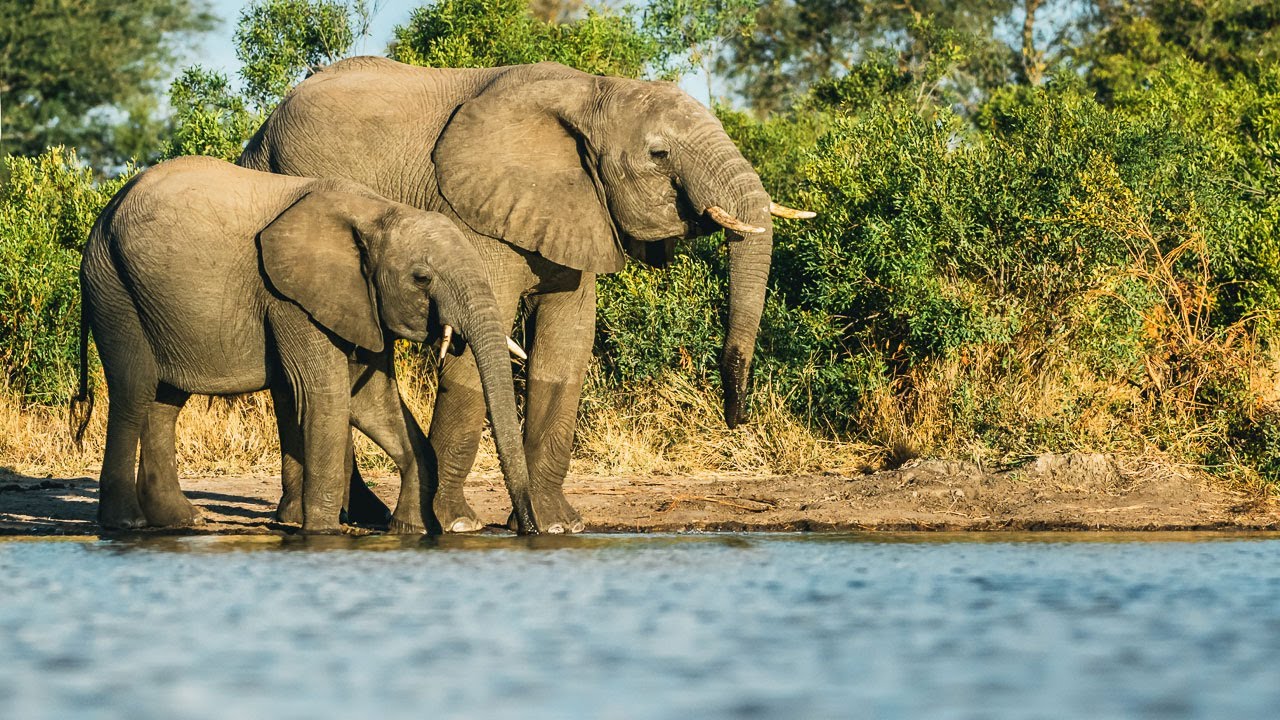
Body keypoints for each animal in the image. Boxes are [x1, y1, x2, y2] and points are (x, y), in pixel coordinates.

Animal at [76, 155, 538, 533]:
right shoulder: (290, 299)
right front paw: (322, 532)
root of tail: (107, 209)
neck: (378, 213)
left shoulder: (357, 300)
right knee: (135, 389)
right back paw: (126, 523)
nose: (528, 528)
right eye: (421, 278)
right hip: (112, 285)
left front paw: (412, 529)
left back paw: (180, 521)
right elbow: (327, 395)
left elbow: (372, 401)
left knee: (165, 401)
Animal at [238, 56, 813, 534]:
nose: (737, 418)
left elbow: (567, 350)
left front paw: (556, 525)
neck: (593, 93)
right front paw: (457, 523)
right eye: (659, 153)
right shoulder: (475, 217)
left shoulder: (579, 208)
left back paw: (338, 517)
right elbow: (473, 358)